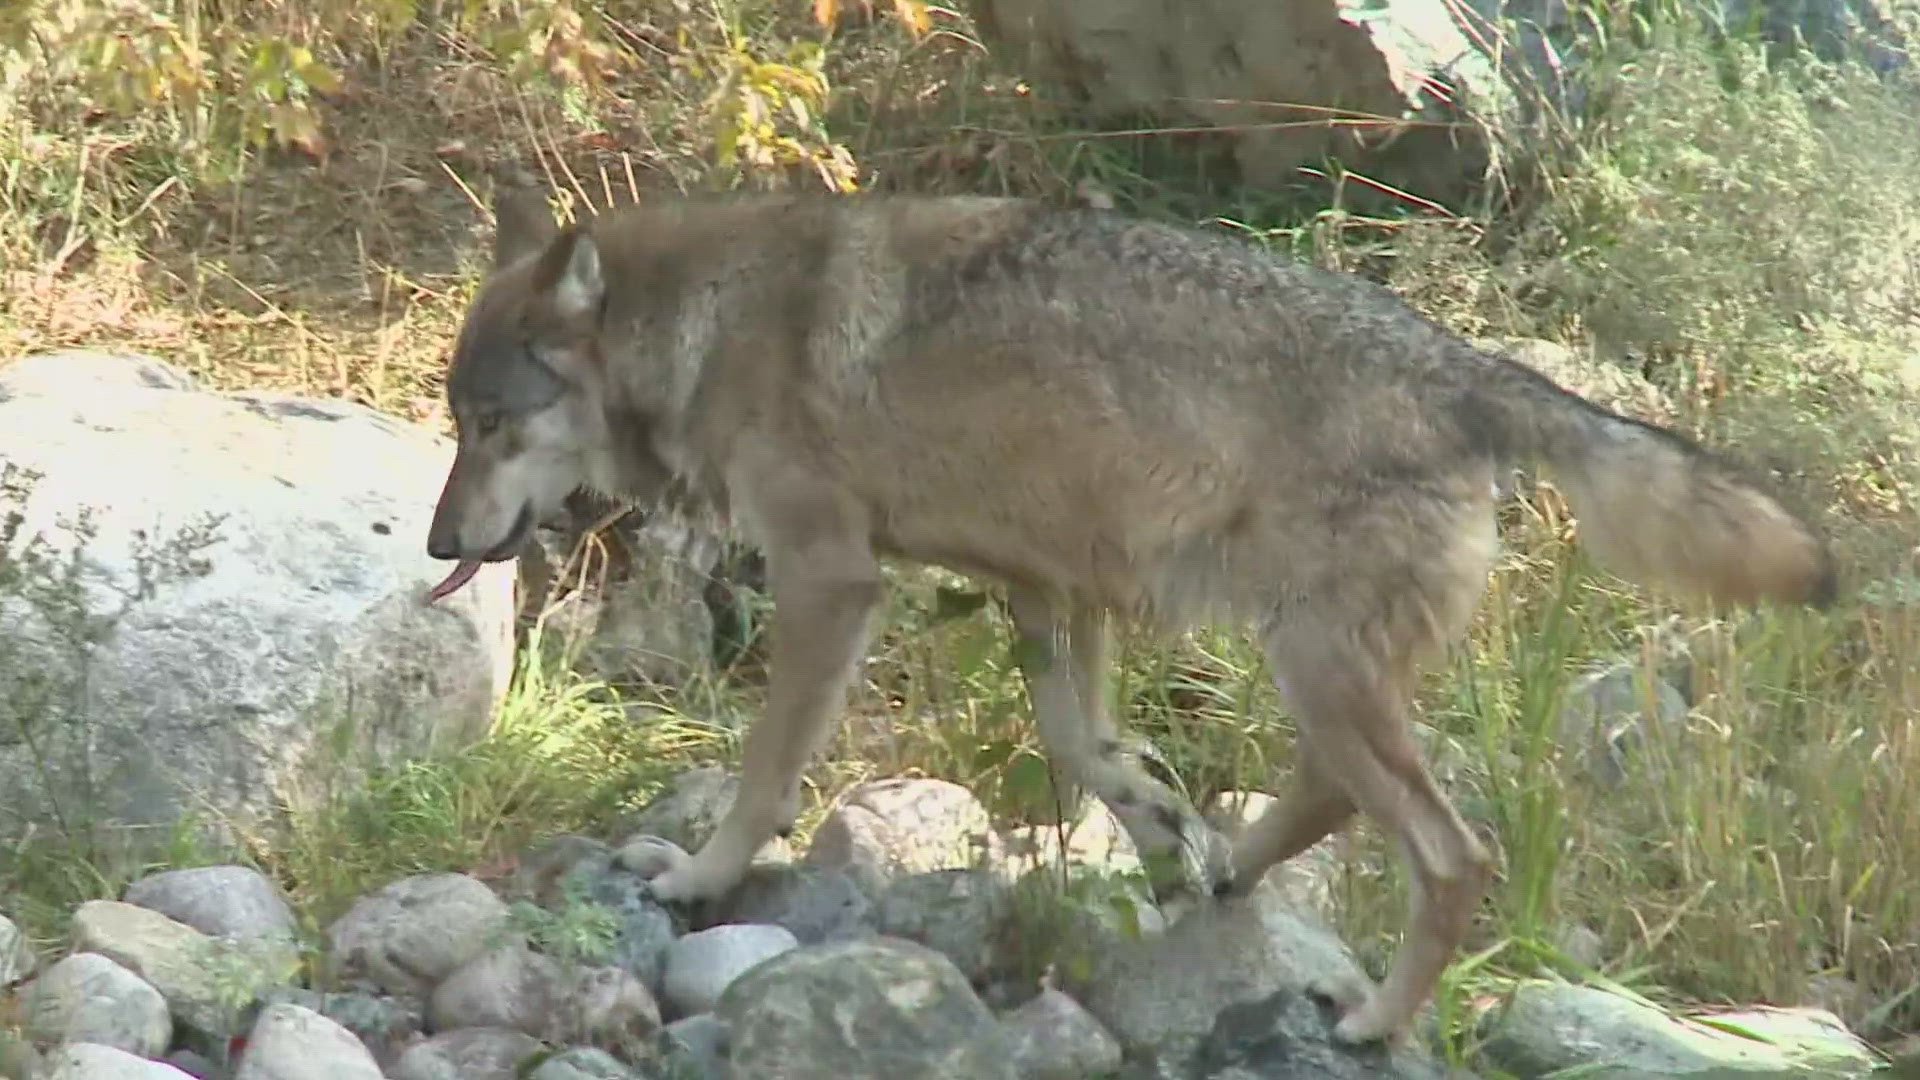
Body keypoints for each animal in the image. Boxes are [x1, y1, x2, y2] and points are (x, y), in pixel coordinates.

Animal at [428, 187, 1835, 1045]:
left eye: (490, 424)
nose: (439, 543)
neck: (712, 328)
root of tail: (1463, 366)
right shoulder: (1051, 590)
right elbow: (1088, 750)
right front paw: (1158, 824)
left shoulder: (831, 581)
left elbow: (769, 769)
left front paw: (702, 877)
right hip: (1314, 660)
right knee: (1331, 794)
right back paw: (1228, 875)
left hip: (1314, 662)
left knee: (1451, 854)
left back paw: (1373, 1021)